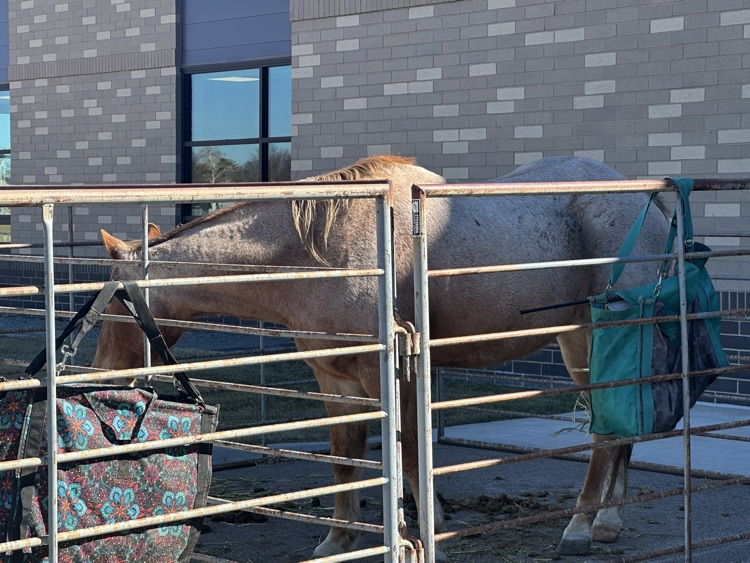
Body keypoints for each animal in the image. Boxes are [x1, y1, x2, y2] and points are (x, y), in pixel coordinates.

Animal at [91, 154, 670, 559]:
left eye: (115, 304)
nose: (102, 376)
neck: (318, 252)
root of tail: (648, 201)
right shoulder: (334, 379)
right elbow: (345, 458)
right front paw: (339, 539)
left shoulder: (395, 374)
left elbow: (409, 455)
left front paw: (428, 531)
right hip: (580, 339)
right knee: (618, 426)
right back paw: (609, 522)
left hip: (603, 334)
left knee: (607, 430)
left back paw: (581, 527)